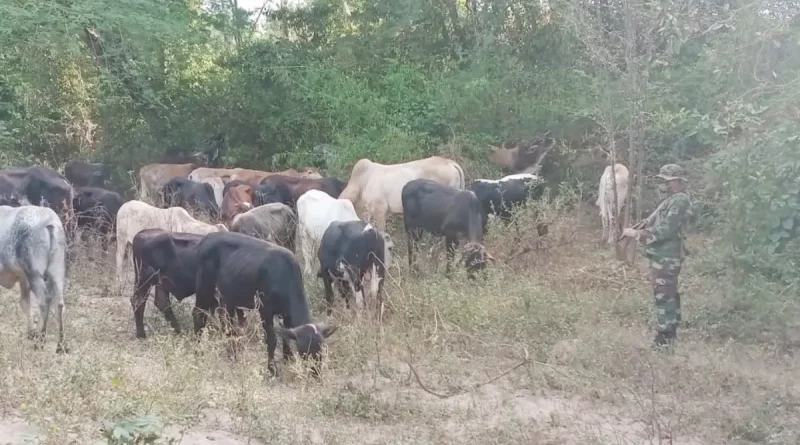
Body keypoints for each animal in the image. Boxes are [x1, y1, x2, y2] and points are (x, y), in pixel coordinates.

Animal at [0, 206, 68, 354]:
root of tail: (50, 220)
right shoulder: (23, 278)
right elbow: (25, 303)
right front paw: (30, 333)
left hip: (34, 273)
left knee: (44, 301)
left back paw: (40, 341)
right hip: (57, 270)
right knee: (59, 303)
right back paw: (61, 345)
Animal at [195, 231, 338, 376]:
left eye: (320, 351)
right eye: (303, 352)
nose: (315, 373)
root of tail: (207, 238)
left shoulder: (286, 315)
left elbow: (285, 337)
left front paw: (288, 359)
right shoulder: (265, 310)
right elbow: (271, 340)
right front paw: (272, 370)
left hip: (228, 297)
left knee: (228, 325)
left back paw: (232, 354)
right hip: (204, 289)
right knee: (199, 316)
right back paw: (198, 351)